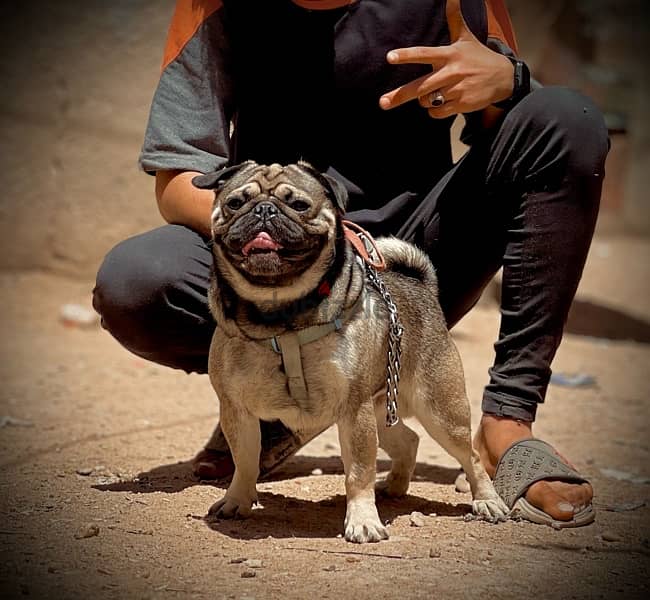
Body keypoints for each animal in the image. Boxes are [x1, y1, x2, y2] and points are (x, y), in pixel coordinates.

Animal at [192, 161, 506, 544]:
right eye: (236, 203)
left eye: (298, 204)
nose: (264, 210)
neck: (280, 312)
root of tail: (421, 286)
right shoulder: (237, 411)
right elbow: (245, 462)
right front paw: (237, 500)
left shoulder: (353, 412)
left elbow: (358, 472)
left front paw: (362, 521)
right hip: (383, 409)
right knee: (408, 440)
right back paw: (395, 486)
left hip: (440, 411)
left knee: (470, 455)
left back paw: (487, 500)